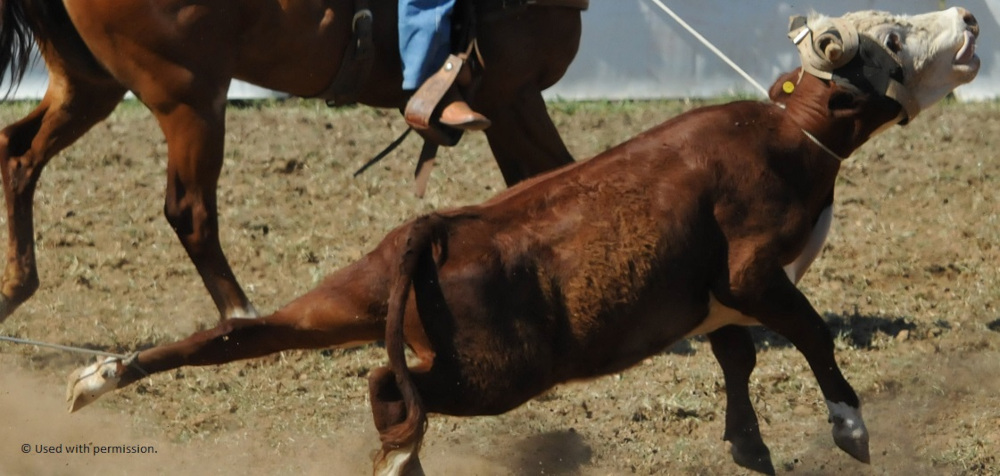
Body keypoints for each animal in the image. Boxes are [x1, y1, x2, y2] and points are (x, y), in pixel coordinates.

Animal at [0, 0, 584, 322]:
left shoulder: (509, 102)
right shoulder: (512, 95)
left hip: (90, 84)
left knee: (17, 153)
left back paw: (15, 287)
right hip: (189, 97)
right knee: (189, 210)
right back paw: (241, 315)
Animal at [66, 7, 980, 476]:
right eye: (892, 36)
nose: (970, 16)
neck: (789, 133)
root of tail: (435, 231)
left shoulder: (721, 302)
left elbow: (738, 359)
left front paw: (750, 448)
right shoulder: (754, 273)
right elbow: (812, 335)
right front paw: (850, 429)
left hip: (348, 298)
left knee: (239, 335)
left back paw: (100, 376)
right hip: (501, 372)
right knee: (390, 386)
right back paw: (399, 457)